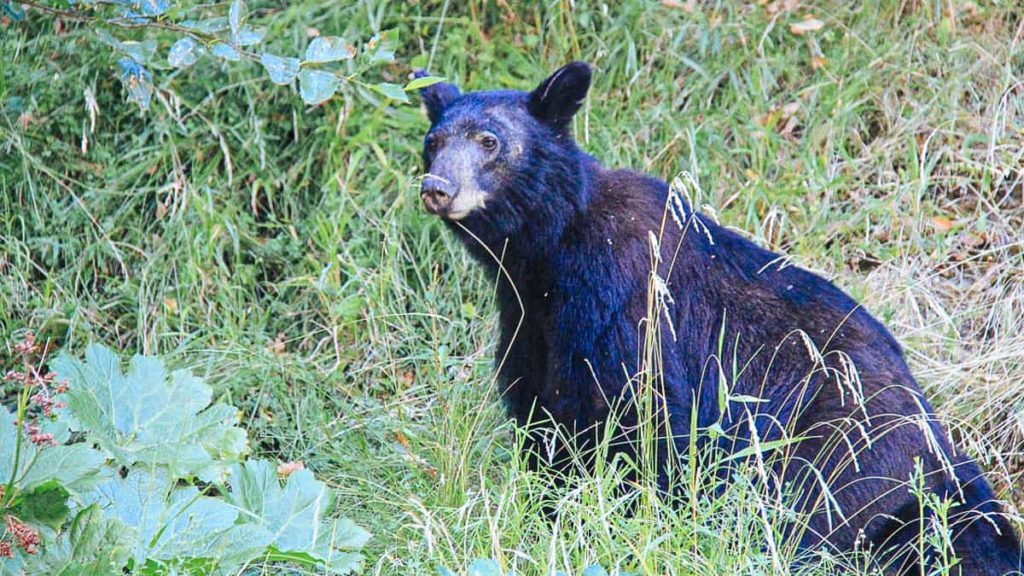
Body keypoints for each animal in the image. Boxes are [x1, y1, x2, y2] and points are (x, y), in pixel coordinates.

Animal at [415, 62, 1022, 574]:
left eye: (490, 141)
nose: (438, 187)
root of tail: (937, 451)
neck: (547, 255)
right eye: (433, 142)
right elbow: (544, 419)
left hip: (837, 453)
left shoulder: (626, 305)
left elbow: (641, 418)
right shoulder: (531, 325)